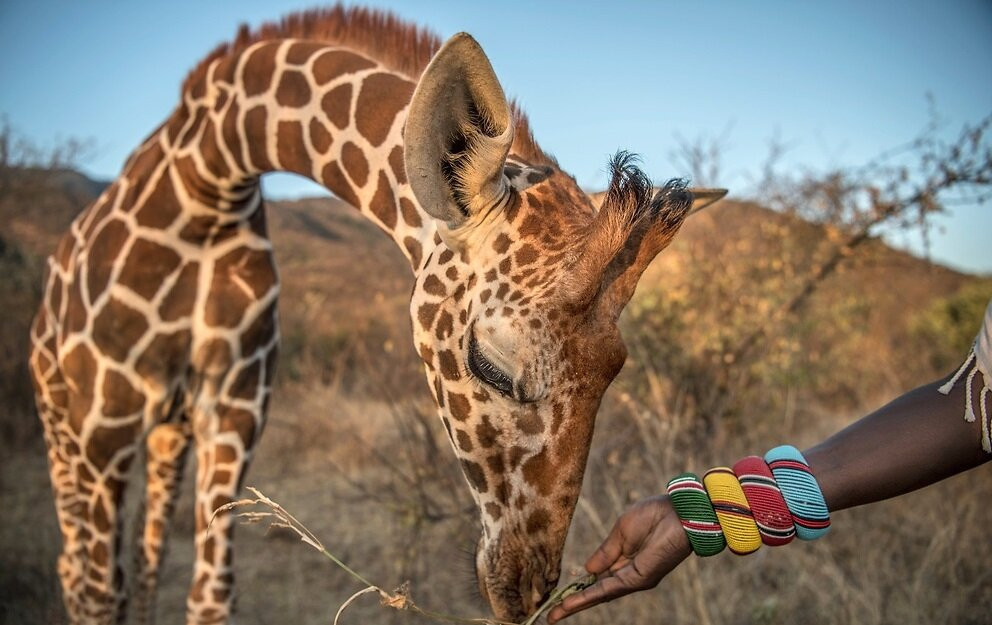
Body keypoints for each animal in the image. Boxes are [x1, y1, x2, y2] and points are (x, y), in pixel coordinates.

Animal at [27, 6, 724, 624]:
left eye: (616, 369)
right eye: (490, 364)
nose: (526, 591)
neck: (208, 178)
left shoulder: (232, 413)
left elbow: (210, 595)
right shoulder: (99, 434)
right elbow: (98, 594)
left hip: (168, 434)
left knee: (145, 563)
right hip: (63, 433)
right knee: (79, 573)